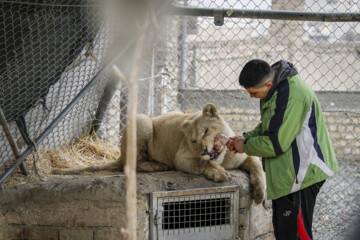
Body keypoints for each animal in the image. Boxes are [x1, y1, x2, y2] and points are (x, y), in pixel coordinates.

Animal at [54, 103, 268, 204]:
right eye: (194, 141)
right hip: (142, 120)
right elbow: (202, 163)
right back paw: (158, 165)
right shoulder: (180, 158)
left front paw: (259, 195)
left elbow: (258, 167)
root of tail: (119, 154)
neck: (224, 157)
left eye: (206, 132)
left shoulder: (245, 156)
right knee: (134, 163)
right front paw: (218, 172)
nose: (205, 150)